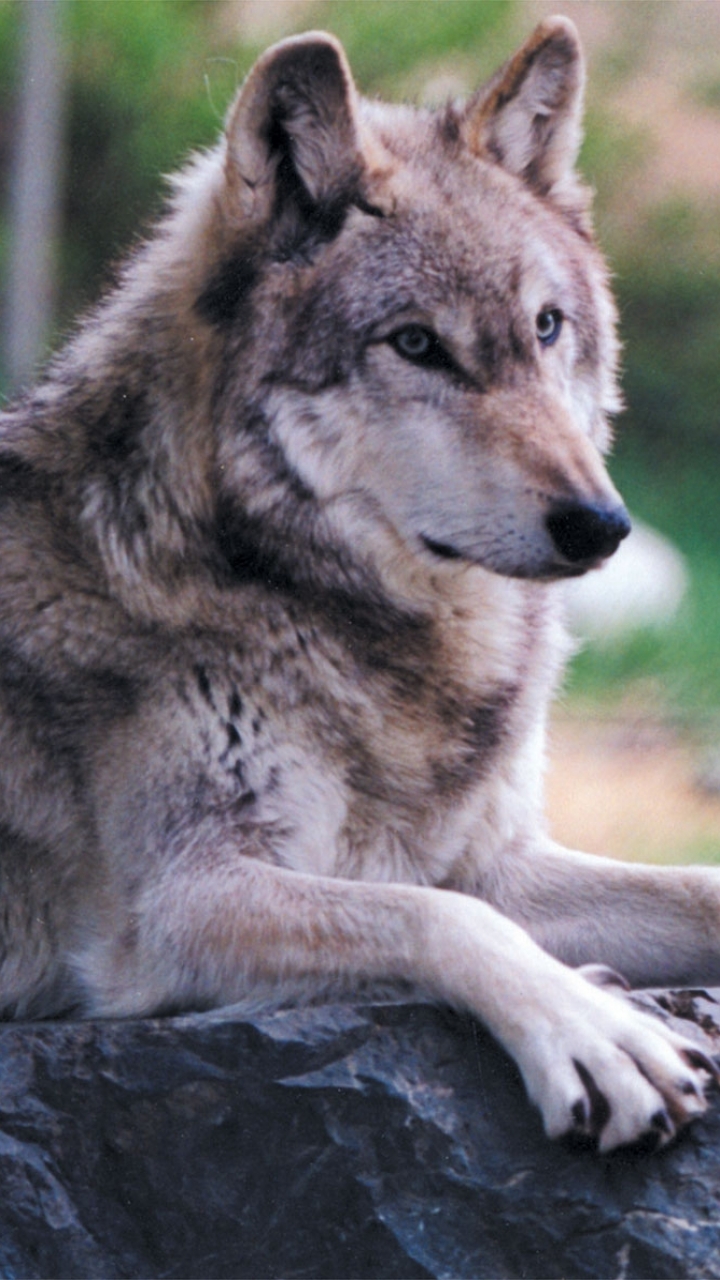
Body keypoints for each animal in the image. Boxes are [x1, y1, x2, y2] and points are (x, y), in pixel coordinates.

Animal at [1, 12, 717, 1152]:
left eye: (548, 325)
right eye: (415, 343)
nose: (601, 525)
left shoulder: (489, 855)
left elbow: (695, 884)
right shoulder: (175, 908)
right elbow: (441, 916)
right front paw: (595, 1028)